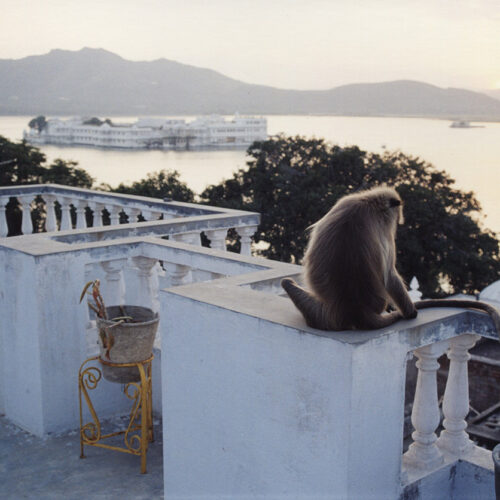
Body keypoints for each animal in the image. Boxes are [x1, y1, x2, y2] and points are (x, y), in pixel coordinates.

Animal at [282, 186, 500, 334]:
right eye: (397, 215)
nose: (400, 220)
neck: (368, 202)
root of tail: (354, 310)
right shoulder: (383, 226)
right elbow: (389, 275)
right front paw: (411, 312)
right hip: (321, 313)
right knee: (287, 282)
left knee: (286, 283)